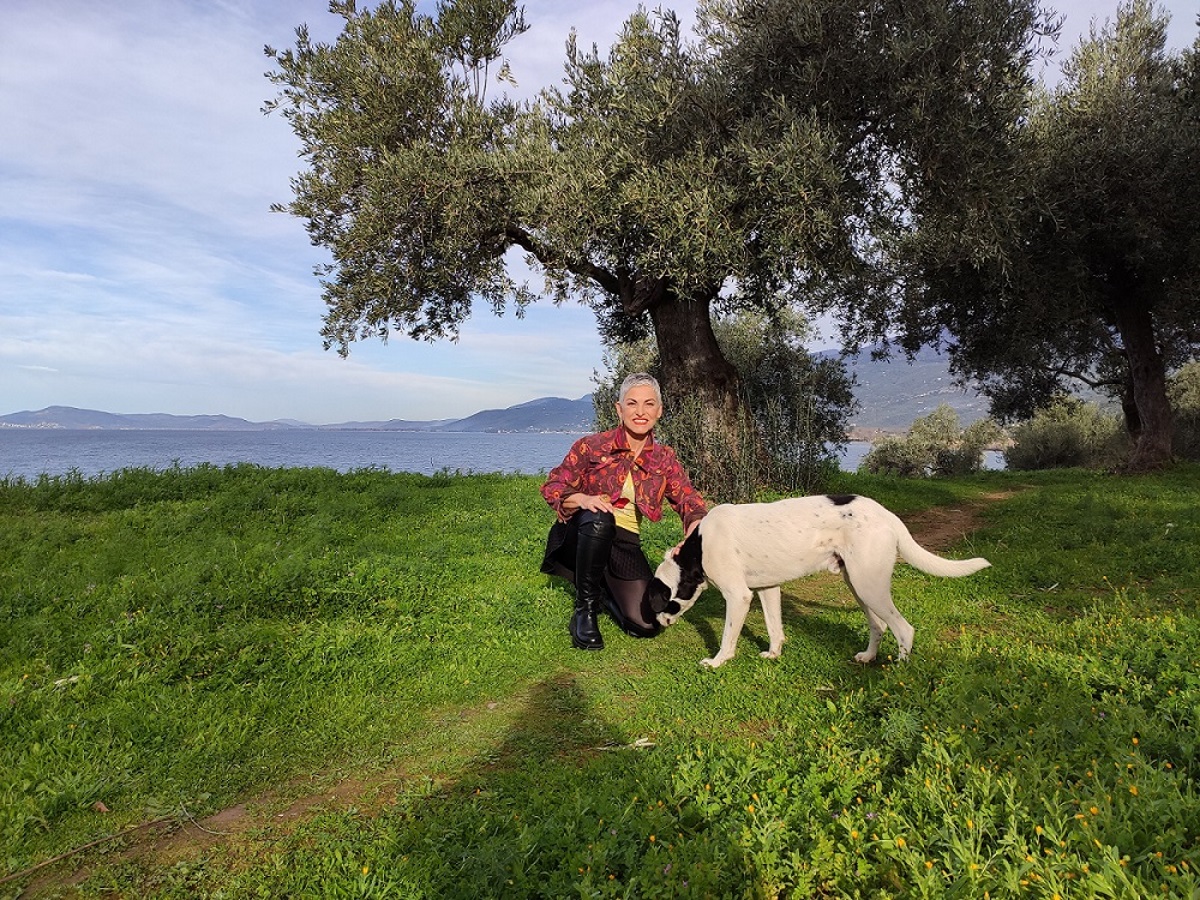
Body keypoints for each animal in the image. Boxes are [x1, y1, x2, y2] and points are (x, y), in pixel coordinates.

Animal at [652, 494, 988, 672]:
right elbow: (775, 629)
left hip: (869, 586)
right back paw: (868, 657)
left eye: (660, 600)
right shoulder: (767, 590)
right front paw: (774, 654)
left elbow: (727, 638)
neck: (699, 547)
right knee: (879, 626)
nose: (655, 624)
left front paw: (718, 661)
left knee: (904, 628)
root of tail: (886, 514)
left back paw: (899, 671)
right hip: (859, 585)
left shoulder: (739, 597)